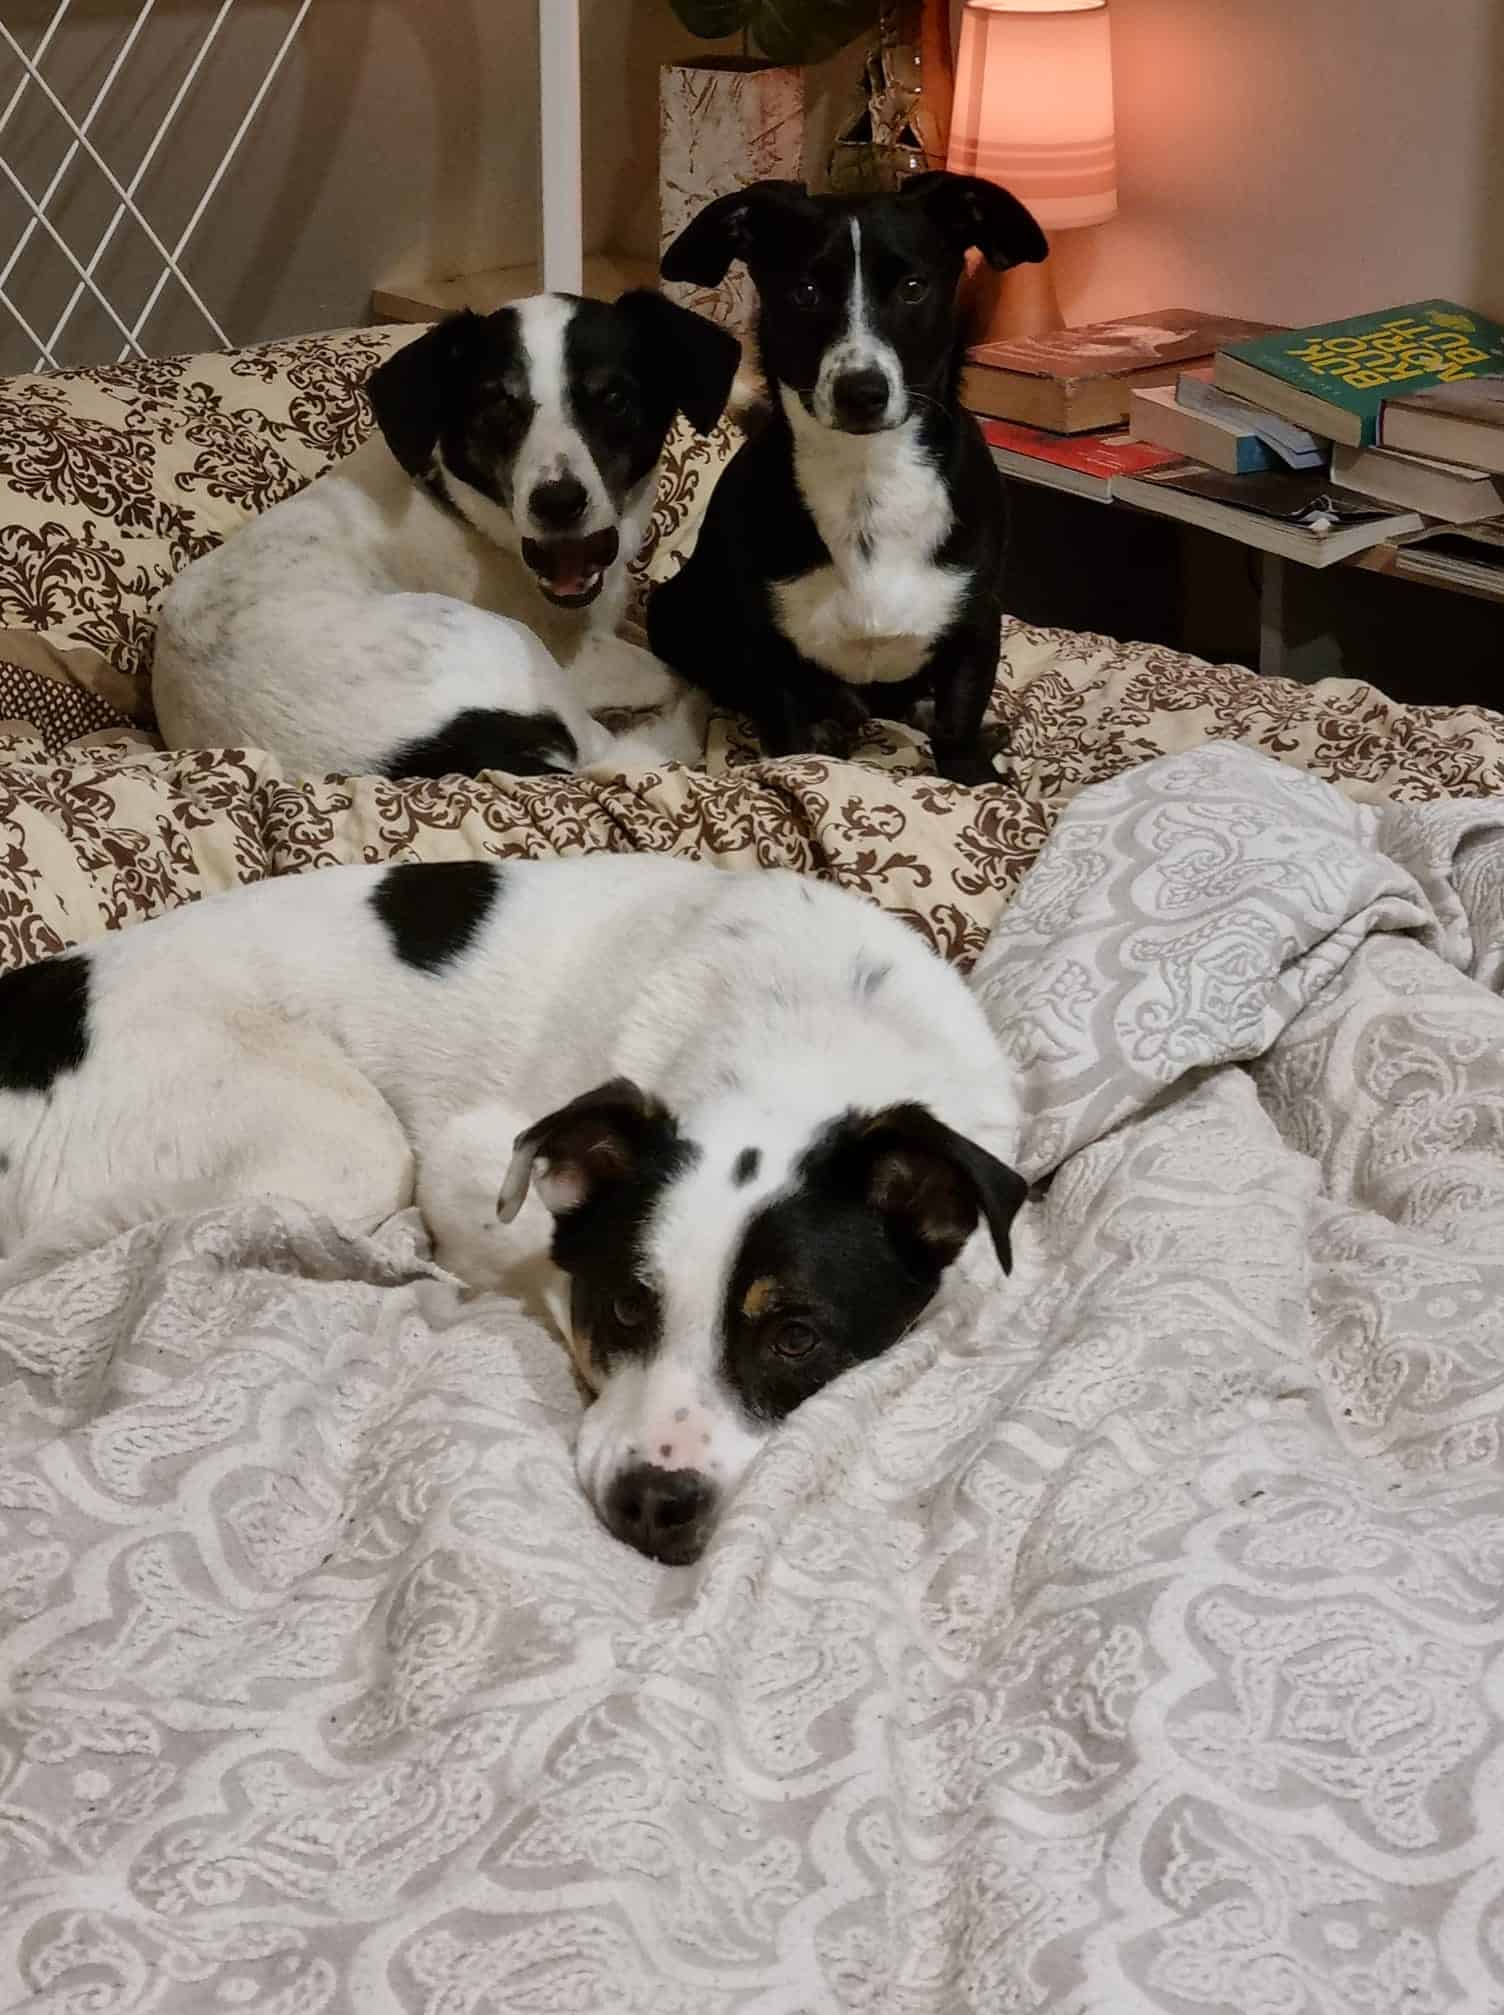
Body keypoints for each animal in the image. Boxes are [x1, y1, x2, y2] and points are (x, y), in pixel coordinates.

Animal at [0, 856, 1025, 1563]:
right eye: (625, 1306)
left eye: (798, 1336)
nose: (653, 1502)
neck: (802, 1045)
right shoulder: (469, 1164)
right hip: (346, 1146)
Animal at [152, 290, 741, 782]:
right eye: (497, 406)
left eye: (614, 399)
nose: (557, 503)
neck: (461, 507)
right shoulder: (580, 658)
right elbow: (664, 668)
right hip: (514, 647)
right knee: (628, 751)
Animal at [647, 173, 1047, 785]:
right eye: (805, 292)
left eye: (913, 288)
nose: (862, 392)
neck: (867, 479)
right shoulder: (769, 646)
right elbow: (790, 737)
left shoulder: (977, 621)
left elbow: (958, 722)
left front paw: (976, 773)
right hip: (672, 613)